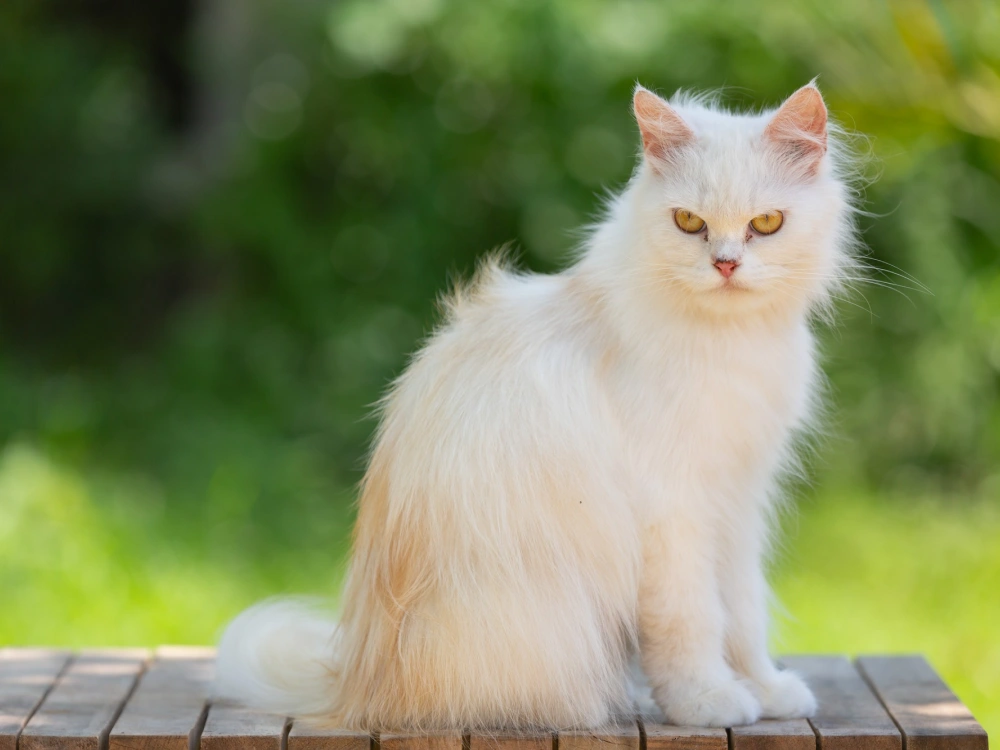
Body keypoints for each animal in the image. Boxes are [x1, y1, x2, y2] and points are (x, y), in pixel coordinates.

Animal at [215, 83, 856, 736]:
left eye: (766, 224)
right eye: (690, 223)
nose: (725, 264)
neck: (731, 340)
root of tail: (353, 690)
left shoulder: (739, 501)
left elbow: (745, 615)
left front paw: (768, 692)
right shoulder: (675, 509)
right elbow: (693, 621)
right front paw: (707, 701)